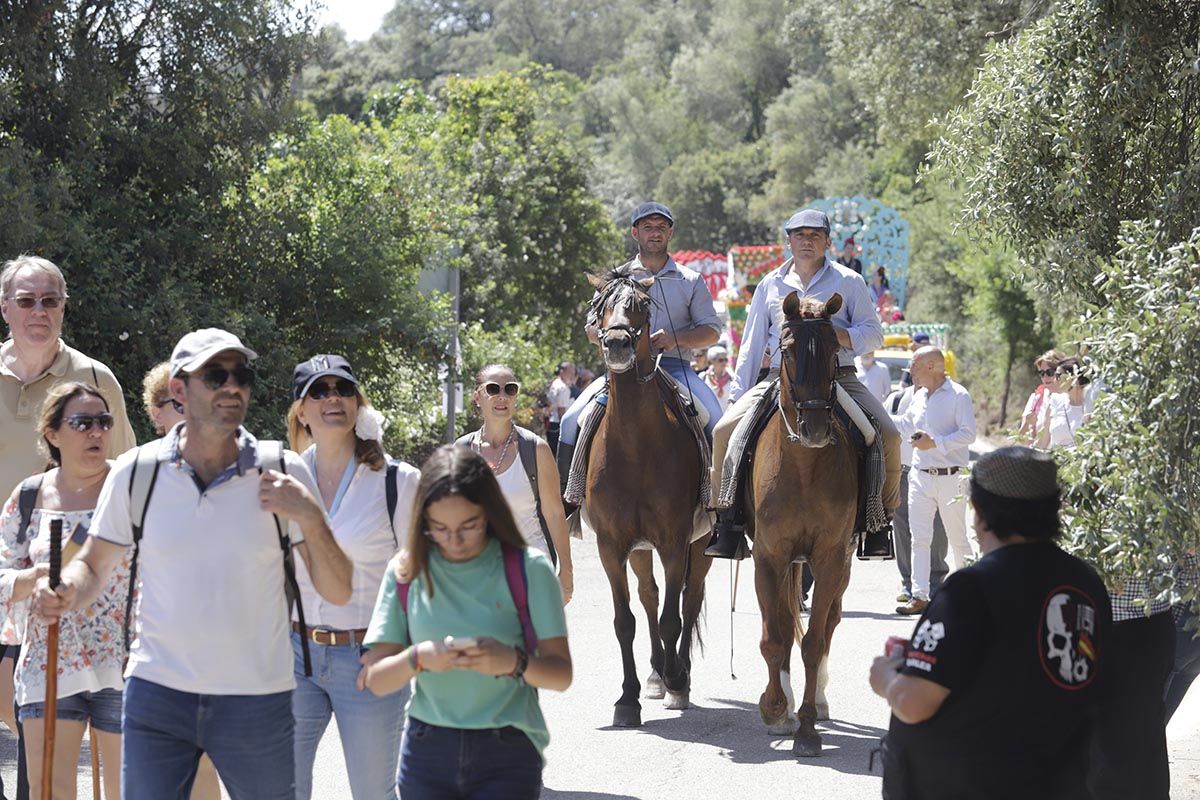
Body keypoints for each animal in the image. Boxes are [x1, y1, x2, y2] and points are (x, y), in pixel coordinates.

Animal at [580, 268, 710, 724]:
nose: (617, 343)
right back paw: (655, 673)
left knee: (690, 600)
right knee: (650, 596)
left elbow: (674, 618)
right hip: (638, 549)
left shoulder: (674, 541)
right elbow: (626, 620)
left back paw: (676, 674)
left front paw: (676, 679)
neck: (635, 444)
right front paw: (628, 697)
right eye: (601, 306)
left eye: (640, 306)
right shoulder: (611, 545)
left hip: (701, 544)